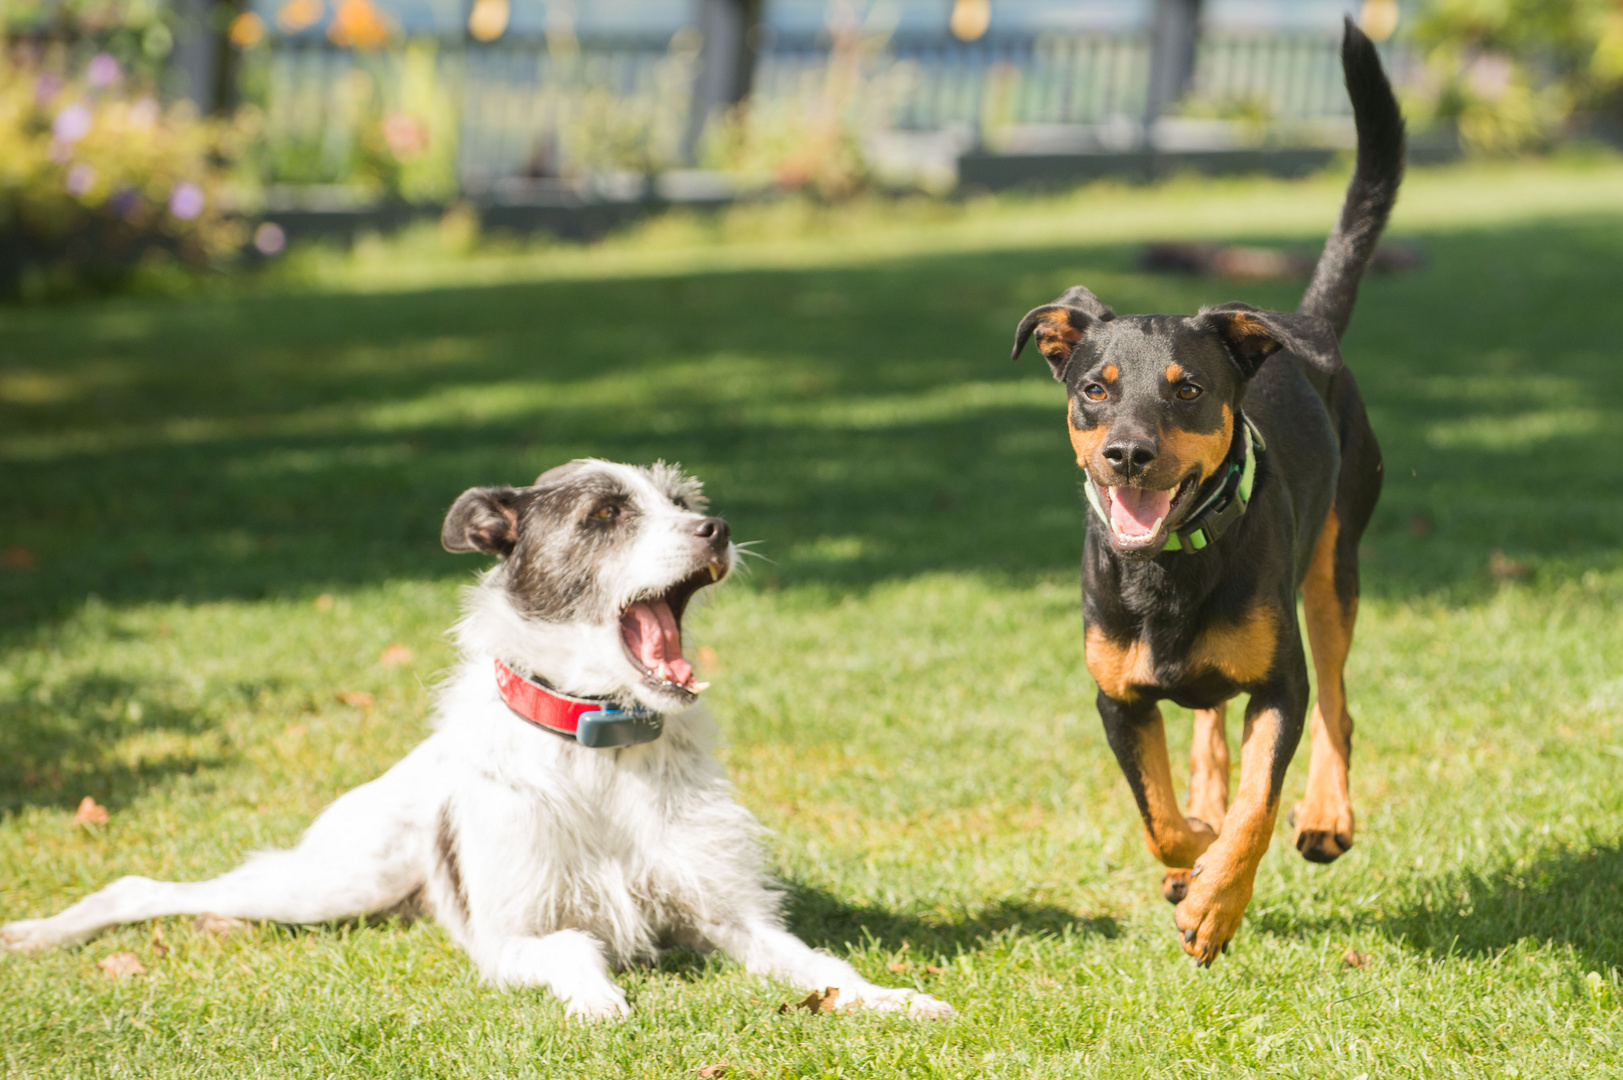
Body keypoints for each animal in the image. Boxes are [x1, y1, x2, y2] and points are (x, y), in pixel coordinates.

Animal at [3, 457, 947, 1013]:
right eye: (606, 515)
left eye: (683, 504)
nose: (716, 530)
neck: (598, 745)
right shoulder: (511, 937)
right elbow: (573, 948)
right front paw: (598, 1001)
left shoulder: (730, 915)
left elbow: (821, 966)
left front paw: (891, 999)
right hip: (333, 881)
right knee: (143, 886)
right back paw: (40, 934)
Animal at [1006, 18, 1402, 961]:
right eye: (1094, 387)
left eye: (1187, 389)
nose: (1127, 454)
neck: (1169, 566)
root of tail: (1304, 325)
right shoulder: (1116, 694)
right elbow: (1160, 818)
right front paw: (1194, 857)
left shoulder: (1279, 686)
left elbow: (1258, 802)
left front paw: (1215, 903)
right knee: (1205, 727)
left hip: (1334, 563)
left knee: (1336, 703)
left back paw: (1325, 815)